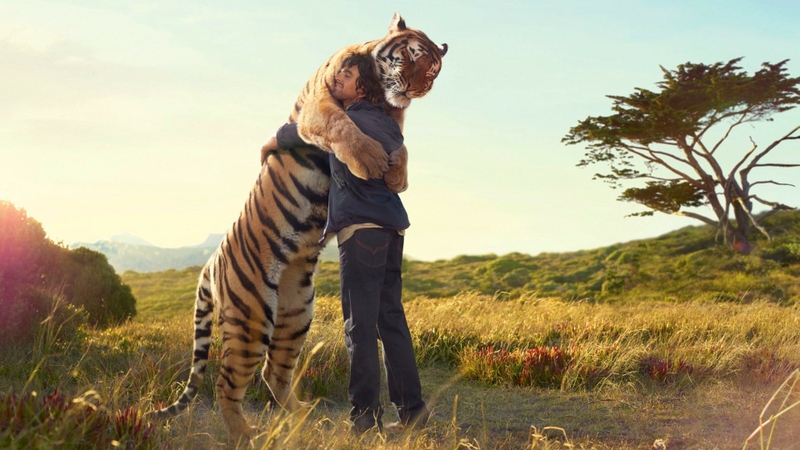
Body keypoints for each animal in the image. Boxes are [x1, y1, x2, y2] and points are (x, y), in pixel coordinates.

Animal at [149, 12, 447, 440]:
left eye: (433, 71)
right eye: (411, 55)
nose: (416, 88)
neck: (377, 93)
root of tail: (210, 262)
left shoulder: (395, 119)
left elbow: (401, 144)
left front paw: (396, 175)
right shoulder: (319, 106)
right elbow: (342, 125)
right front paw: (371, 161)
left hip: (295, 314)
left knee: (273, 372)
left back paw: (305, 417)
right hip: (252, 318)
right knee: (227, 382)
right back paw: (247, 436)